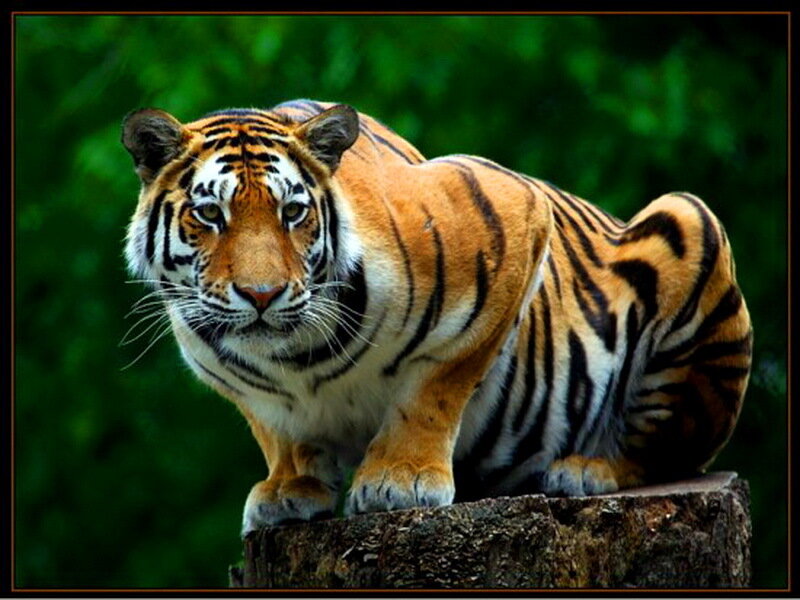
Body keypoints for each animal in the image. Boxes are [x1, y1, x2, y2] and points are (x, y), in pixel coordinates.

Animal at [122, 99, 753, 536]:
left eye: (293, 212)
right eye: (210, 214)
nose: (262, 294)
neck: (295, 359)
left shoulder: (514, 212)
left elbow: (434, 386)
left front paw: (400, 479)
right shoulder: (243, 387)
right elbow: (278, 430)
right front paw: (288, 485)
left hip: (689, 221)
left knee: (672, 446)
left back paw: (588, 468)